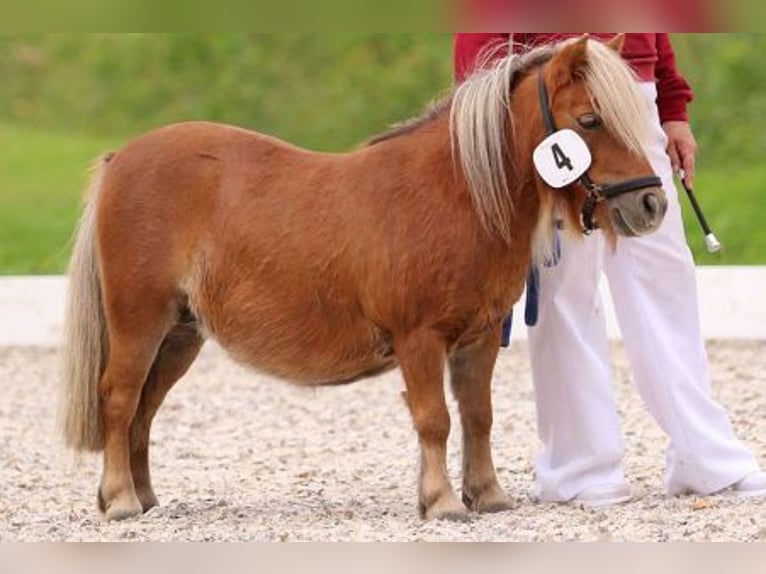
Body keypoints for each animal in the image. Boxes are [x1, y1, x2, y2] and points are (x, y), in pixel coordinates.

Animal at [60, 35, 667, 522]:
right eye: (589, 120)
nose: (652, 204)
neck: (455, 194)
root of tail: (121, 160)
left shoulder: (478, 337)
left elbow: (478, 415)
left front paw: (487, 496)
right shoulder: (419, 339)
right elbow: (434, 419)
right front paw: (442, 502)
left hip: (180, 335)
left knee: (144, 410)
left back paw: (144, 497)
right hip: (140, 322)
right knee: (119, 399)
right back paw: (120, 501)